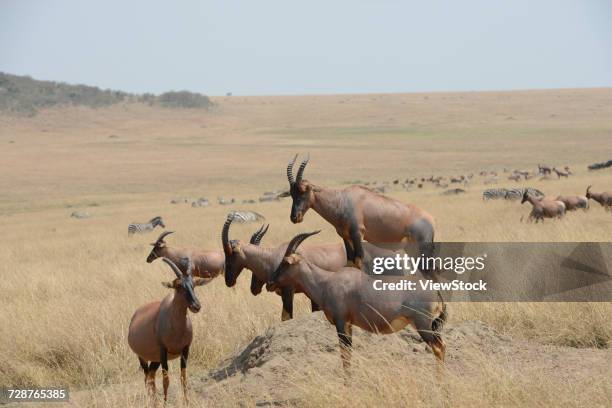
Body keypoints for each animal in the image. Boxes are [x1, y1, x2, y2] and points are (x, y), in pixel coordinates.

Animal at [128, 256, 207, 404]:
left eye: (194, 284)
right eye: (178, 286)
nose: (196, 306)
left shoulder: (185, 349)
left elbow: (183, 378)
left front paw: (186, 402)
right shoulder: (163, 350)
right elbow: (166, 380)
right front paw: (165, 403)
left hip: (155, 359)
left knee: (151, 376)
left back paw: (154, 401)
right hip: (142, 357)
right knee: (147, 378)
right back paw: (152, 402)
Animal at [266, 231, 448, 368]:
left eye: (285, 262)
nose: (270, 284)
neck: (327, 281)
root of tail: (436, 291)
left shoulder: (340, 322)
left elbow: (344, 354)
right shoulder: (349, 324)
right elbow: (348, 353)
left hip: (423, 325)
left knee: (439, 348)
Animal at [284, 155, 436, 272]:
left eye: (304, 190)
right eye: (291, 193)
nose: (294, 217)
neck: (343, 200)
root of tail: (431, 221)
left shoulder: (358, 234)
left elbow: (360, 259)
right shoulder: (345, 236)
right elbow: (350, 261)